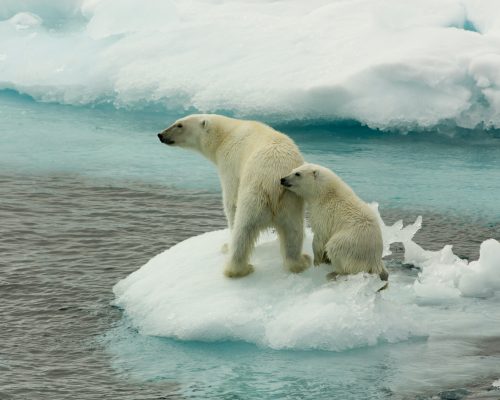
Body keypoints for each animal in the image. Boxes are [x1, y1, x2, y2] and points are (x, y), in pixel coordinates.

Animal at [158, 115, 310, 278]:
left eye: (179, 125)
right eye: (176, 122)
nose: (160, 135)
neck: (226, 134)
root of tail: (273, 182)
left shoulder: (230, 163)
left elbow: (230, 200)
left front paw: (226, 244)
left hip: (254, 195)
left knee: (243, 229)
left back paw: (236, 266)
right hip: (291, 201)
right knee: (293, 232)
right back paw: (299, 262)